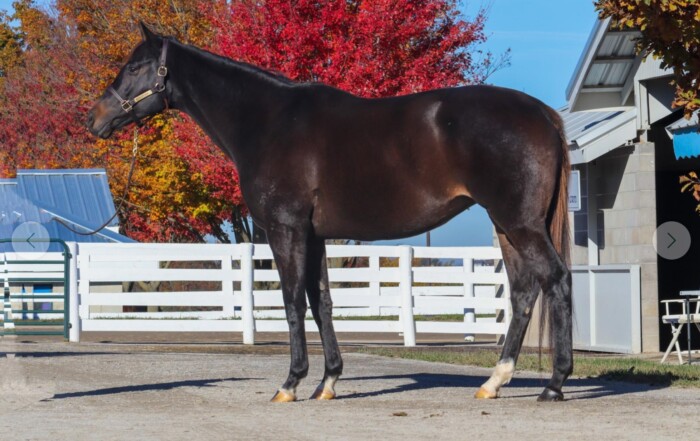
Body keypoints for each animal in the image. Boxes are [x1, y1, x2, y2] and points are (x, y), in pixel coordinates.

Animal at [87, 23, 572, 403]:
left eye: (136, 67)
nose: (95, 119)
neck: (268, 121)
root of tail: (544, 114)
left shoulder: (285, 229)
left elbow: (291, 301)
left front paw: (290, 384)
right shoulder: (315, 234)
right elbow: (321, 302)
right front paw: (328, 382)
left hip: (519, 223)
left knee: (556, 280)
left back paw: (554, 384)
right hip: (507, 226)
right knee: (524, 292)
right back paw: (494, 381)